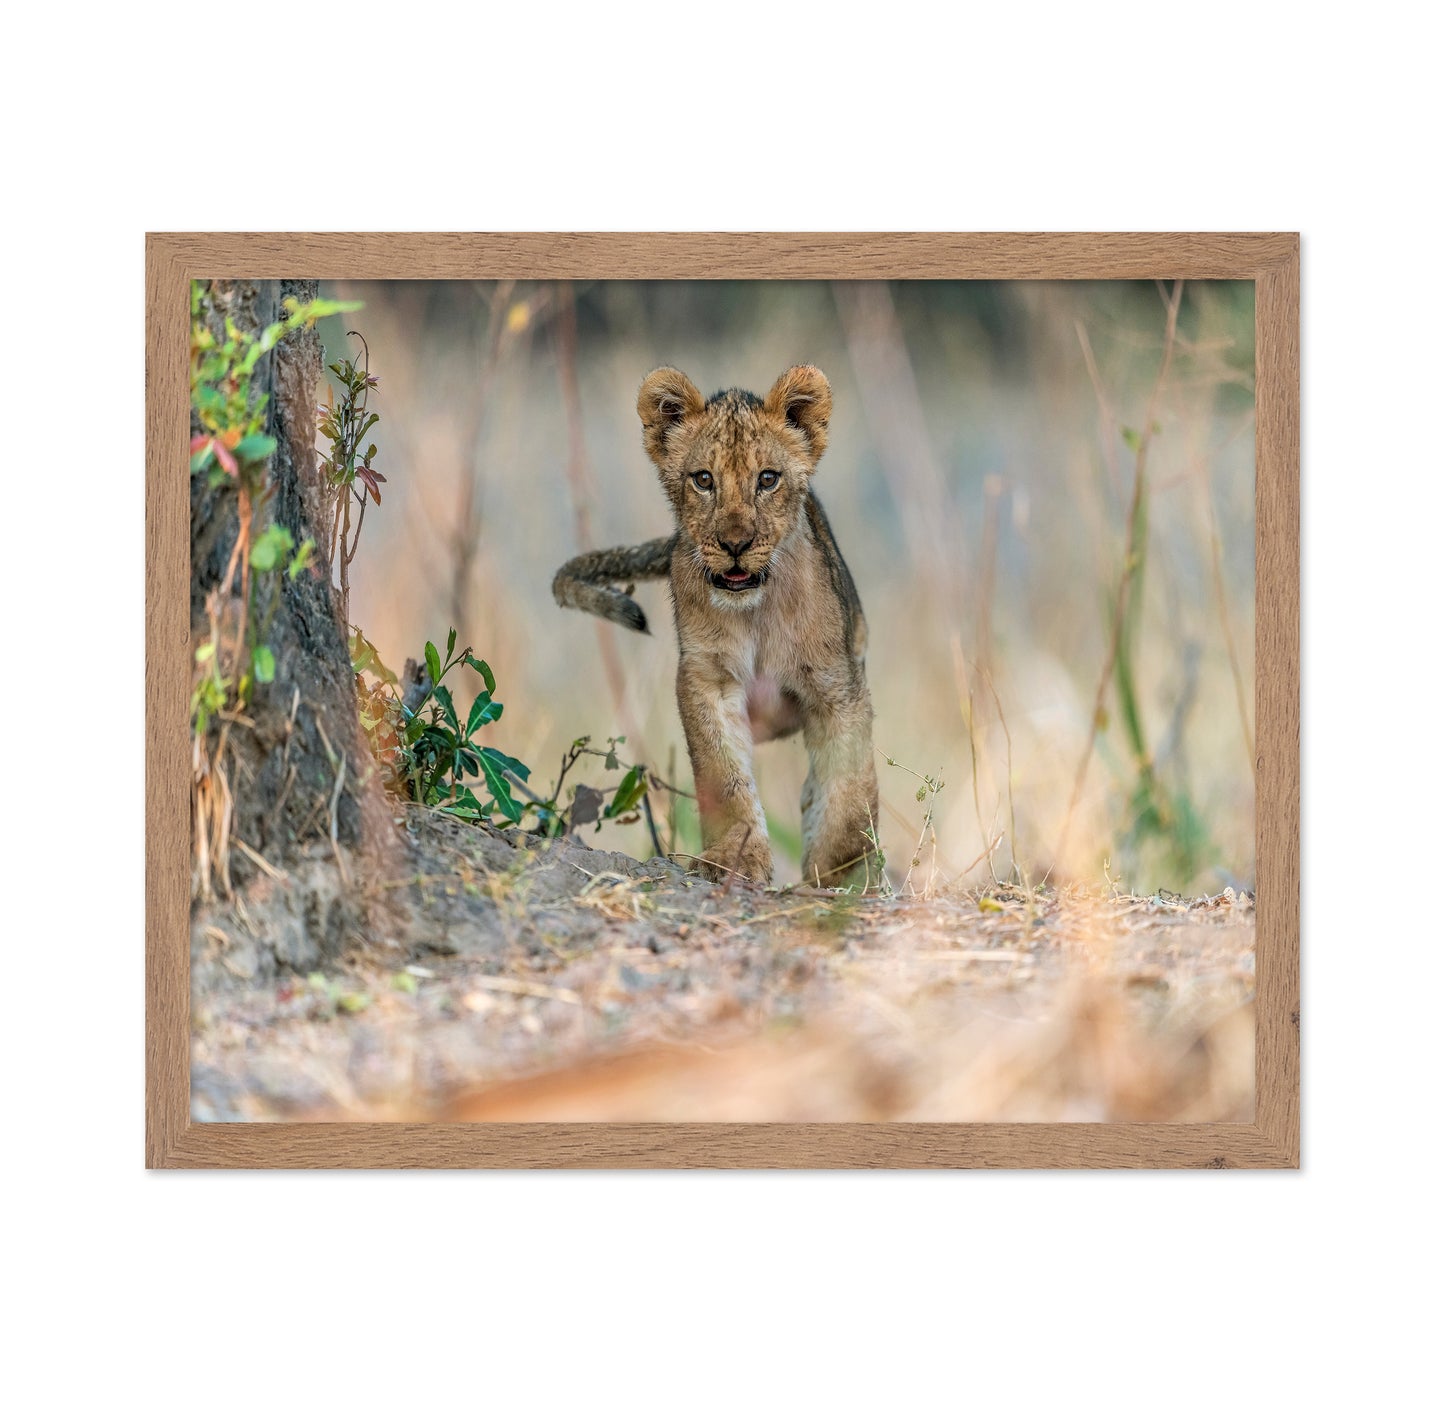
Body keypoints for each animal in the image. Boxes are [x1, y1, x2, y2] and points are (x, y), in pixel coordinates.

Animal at [553, 365, 881, 890]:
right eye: (704, 480)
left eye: (767, 479)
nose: (735, 544)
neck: (756, 614)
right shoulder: (706, 680)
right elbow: (723, 776)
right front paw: (735, 859)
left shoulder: (839, 686)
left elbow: (849, 791)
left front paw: (842, 878)